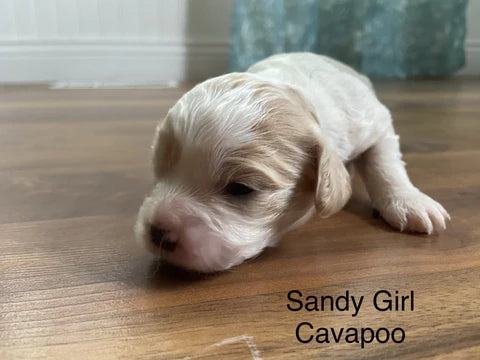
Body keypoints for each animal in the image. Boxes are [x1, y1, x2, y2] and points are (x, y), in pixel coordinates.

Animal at [136, 52, 450, 272]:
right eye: (159, 169)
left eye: (241, 188)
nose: (157, 232)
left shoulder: (375, 121)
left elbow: (384, 164)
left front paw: (409, 202)